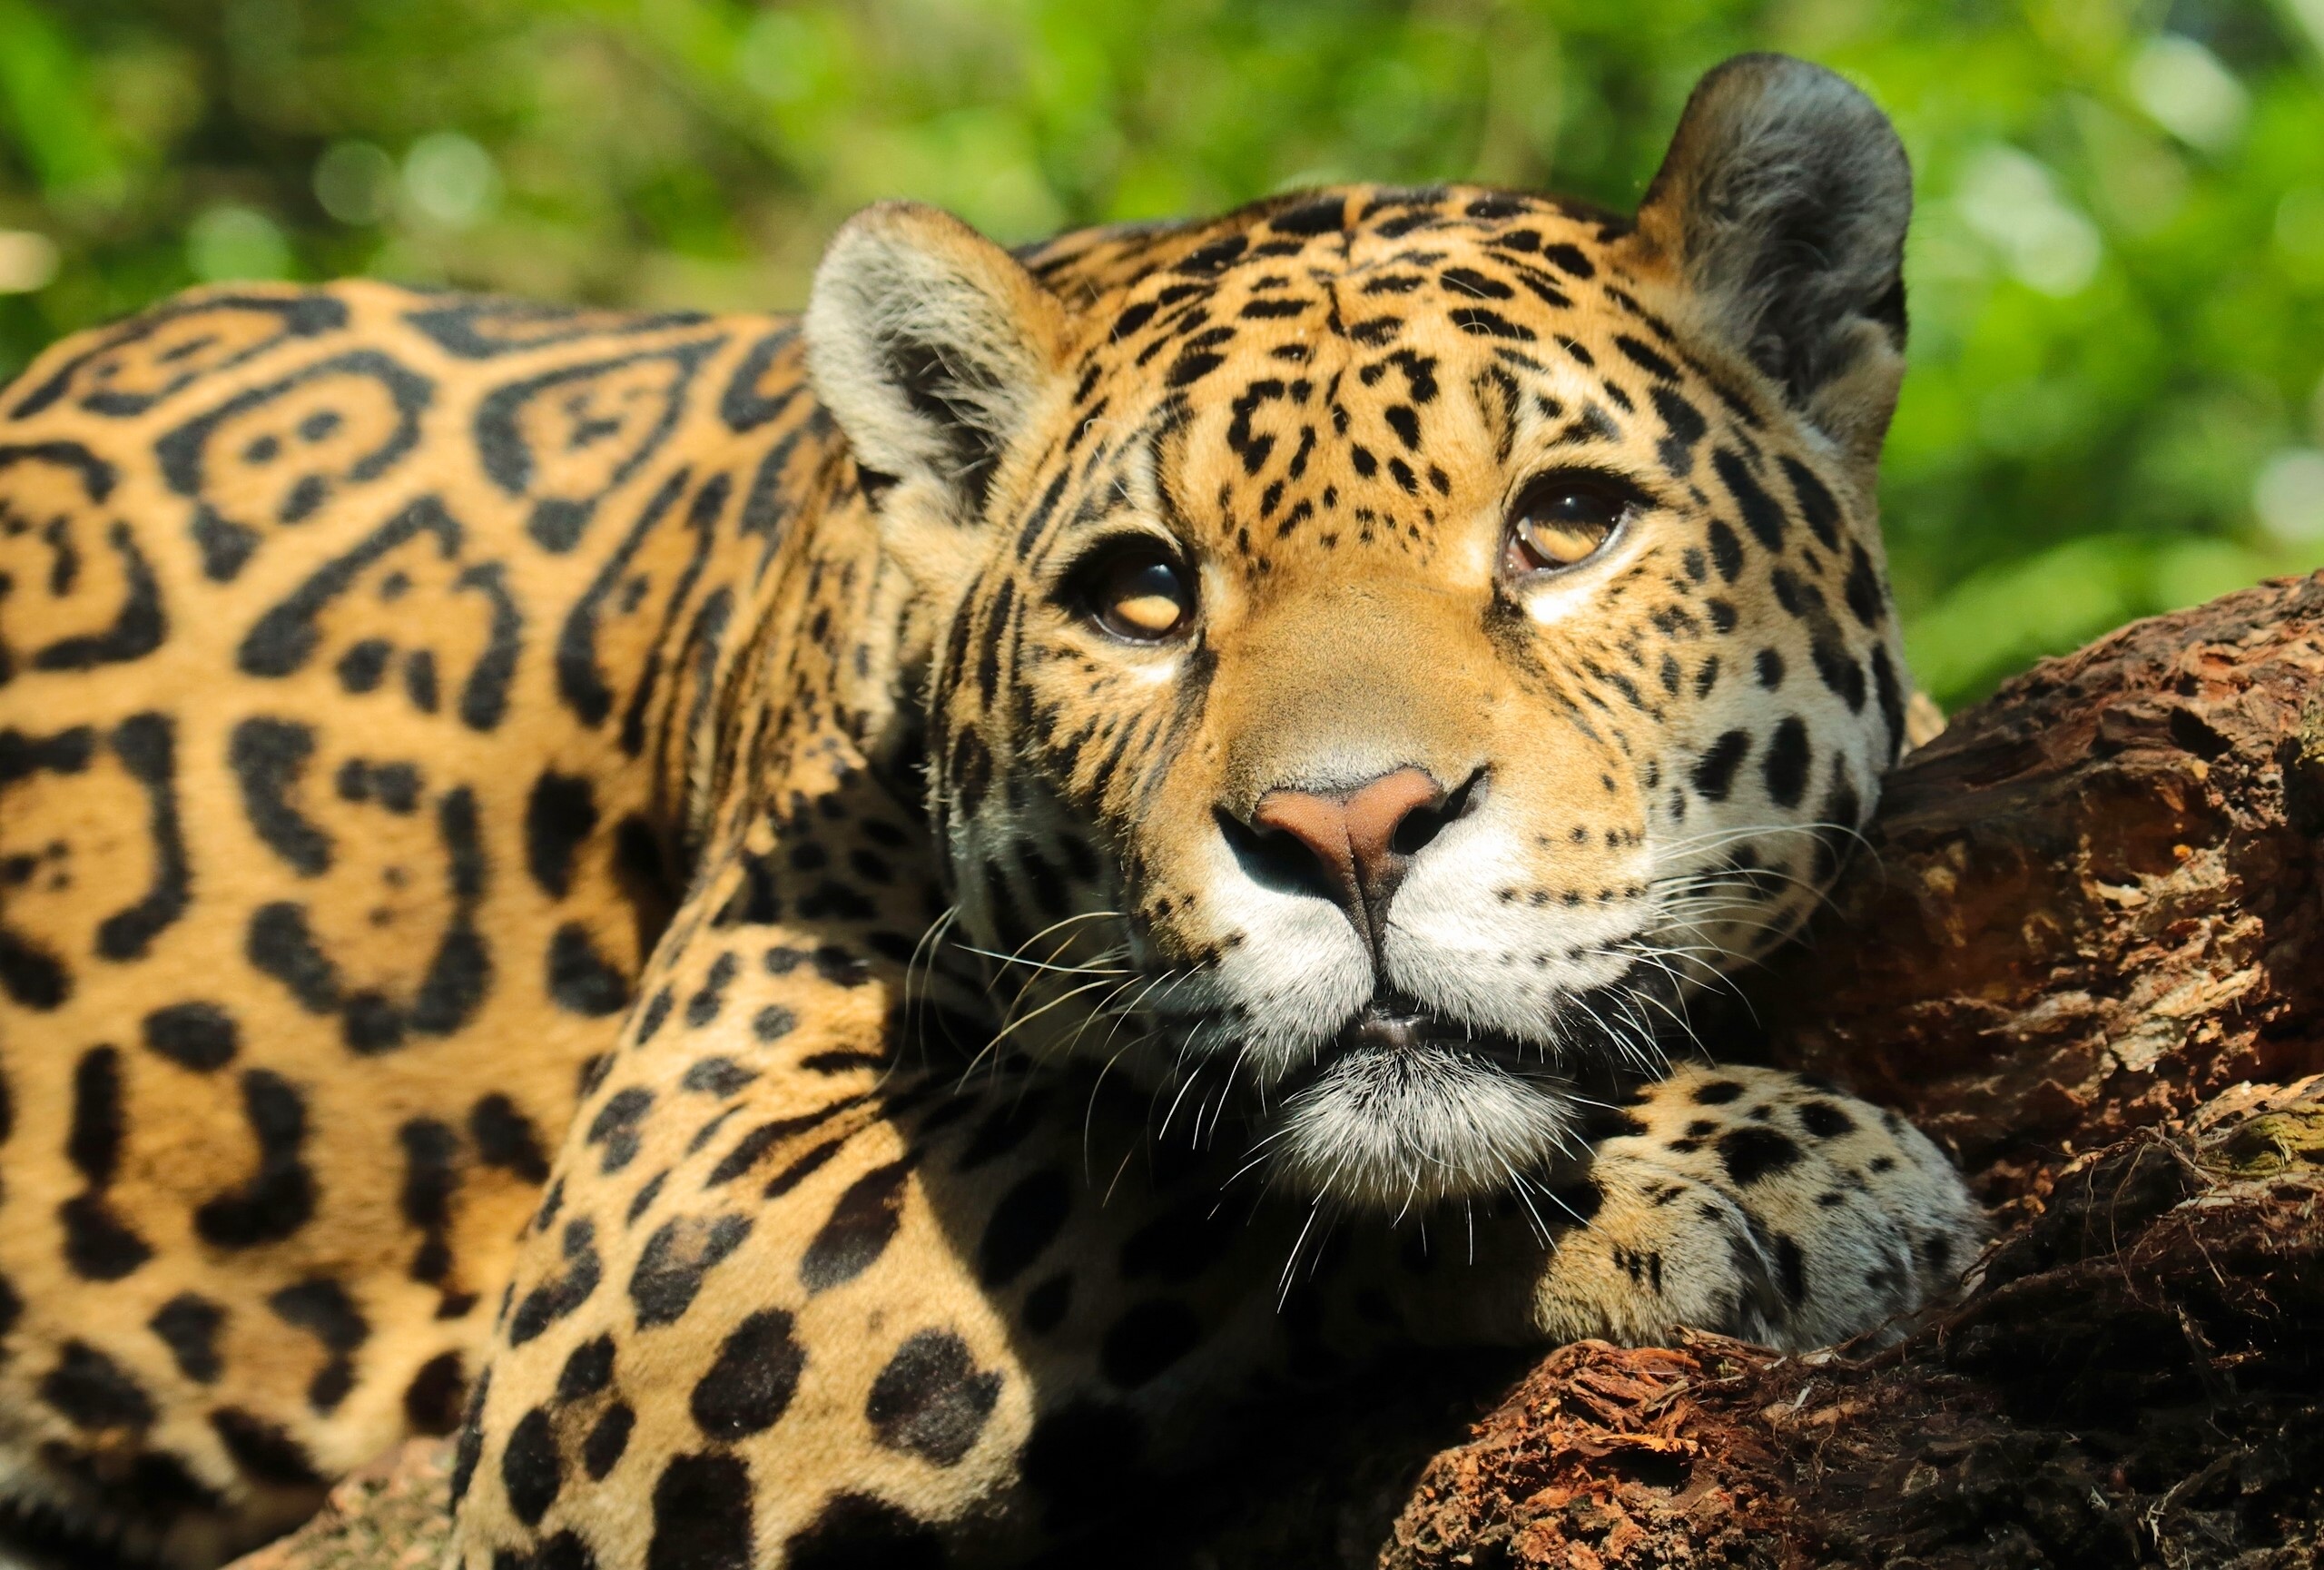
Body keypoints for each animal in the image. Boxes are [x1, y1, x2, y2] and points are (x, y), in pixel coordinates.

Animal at [0, 52, 1982, 1570]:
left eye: (1566, 522)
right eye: (1141, 593)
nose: (1348, 831)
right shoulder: (658, 1243)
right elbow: (1165, 1164)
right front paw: (1774, 1175)